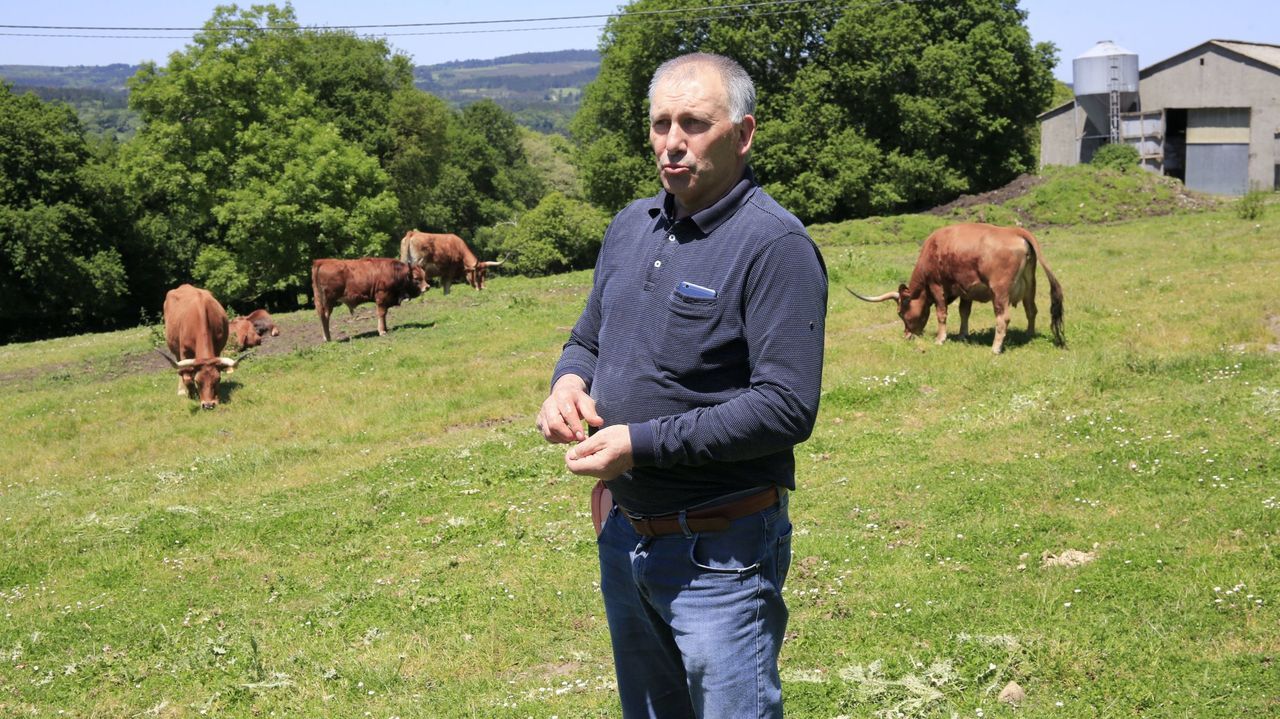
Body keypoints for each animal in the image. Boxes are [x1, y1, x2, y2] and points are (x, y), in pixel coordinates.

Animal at [849, 220, 1070, 350]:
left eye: (900, 313)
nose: (907, 336)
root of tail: (1014, 231)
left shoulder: (937, 285)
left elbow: (941, 313)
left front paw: (940, 338)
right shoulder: (966, 289)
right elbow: (964, 312)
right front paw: (963, 335)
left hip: (1000, 291)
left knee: (1003, 318)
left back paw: (995, 348)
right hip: (1030, 285)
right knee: (1031, 310)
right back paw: (1028, 335)